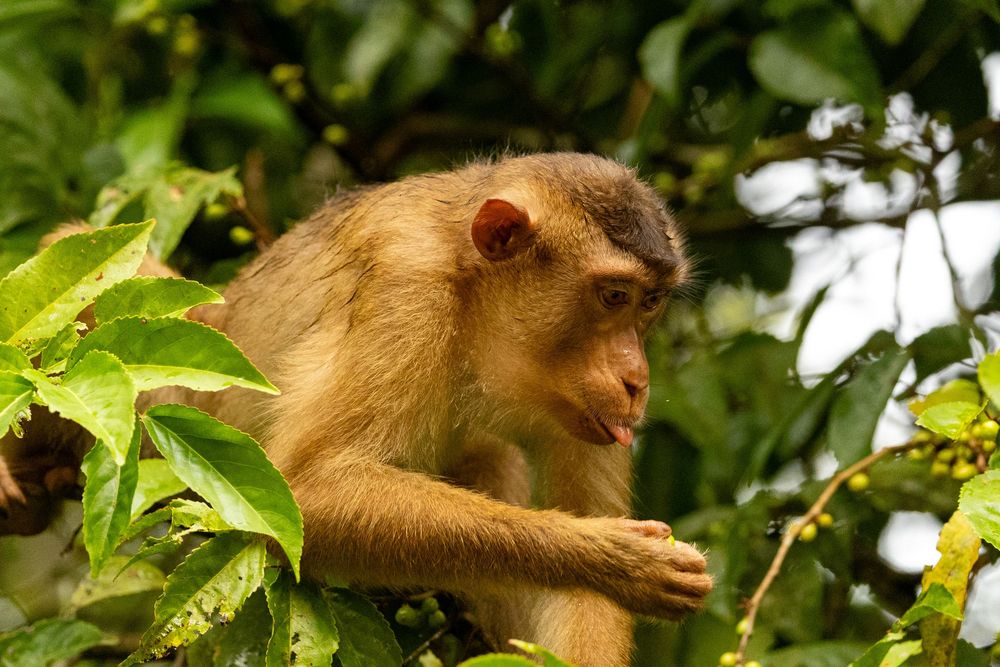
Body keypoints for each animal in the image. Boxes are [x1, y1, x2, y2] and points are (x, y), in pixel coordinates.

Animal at [1, 153, 711, 665]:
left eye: (649, 303)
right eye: (613, 296)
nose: (636, 379)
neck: (471, 290)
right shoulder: (408, 288)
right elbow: (305, 494)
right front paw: (614, 558)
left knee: (490, 458)